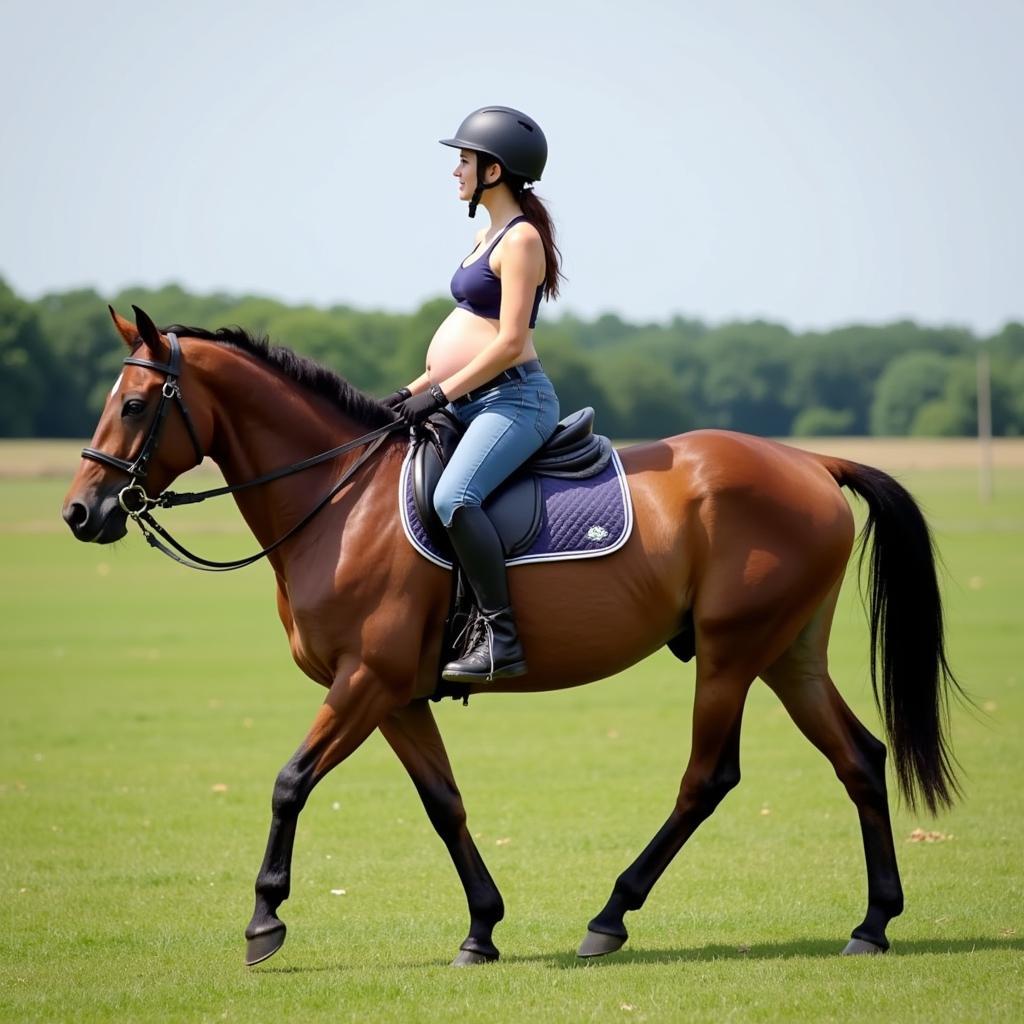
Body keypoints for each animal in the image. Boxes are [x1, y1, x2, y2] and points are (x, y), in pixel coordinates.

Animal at [64, 303, 958, 966]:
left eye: (134, 405)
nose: (81, 512)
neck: (341, 500)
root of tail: (810, 463)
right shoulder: (393, 695)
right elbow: (444, 802)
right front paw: (481, 930)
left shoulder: (365, 680)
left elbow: (291, 781)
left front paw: (264, 922)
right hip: (788, 653)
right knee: (859, 758)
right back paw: (873, 923)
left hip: (733, 653)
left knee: (709, 778)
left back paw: (610, 917)